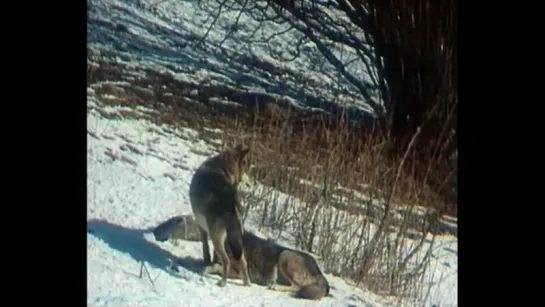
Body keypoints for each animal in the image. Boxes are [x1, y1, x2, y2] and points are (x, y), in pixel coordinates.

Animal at [188, 146, 252, 288]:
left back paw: (222, 282)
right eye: (245, 168)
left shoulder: (201, 226)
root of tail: (232, 203)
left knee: (227, 261)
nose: (251, 183)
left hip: (217, 238)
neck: (222, 168)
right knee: (243, 262)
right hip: (236, 240)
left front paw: (206, 262)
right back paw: (246, 283)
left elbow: (205, 247)